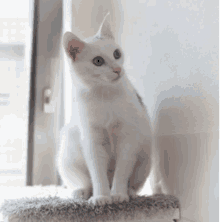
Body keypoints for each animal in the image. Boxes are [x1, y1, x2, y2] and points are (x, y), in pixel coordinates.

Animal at [57, 13, 152, 206]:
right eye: (98, 61)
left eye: (117, 53)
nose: (117, 69)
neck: (106, 96)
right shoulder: (92, 139)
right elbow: (97, 172)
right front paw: (101, 197)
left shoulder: (128, 137)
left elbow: (122, 170)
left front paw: (118, 194)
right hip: (68, 155)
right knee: (84, 181)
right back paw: (82, 192)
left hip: (145, 158)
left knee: (133, 180)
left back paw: (130, 192)